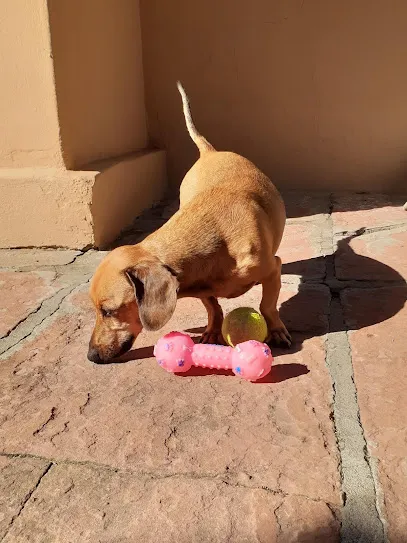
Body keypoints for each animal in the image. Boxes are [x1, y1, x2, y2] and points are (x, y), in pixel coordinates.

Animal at [87, 83, 292, 364]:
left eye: (108, 311)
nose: (91, 355)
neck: (217, 240)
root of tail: (210, 152)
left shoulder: (273, 268)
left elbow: (267, 306)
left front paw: (277, 330)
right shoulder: (201, 285)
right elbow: (212, 305)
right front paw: (213, 329)